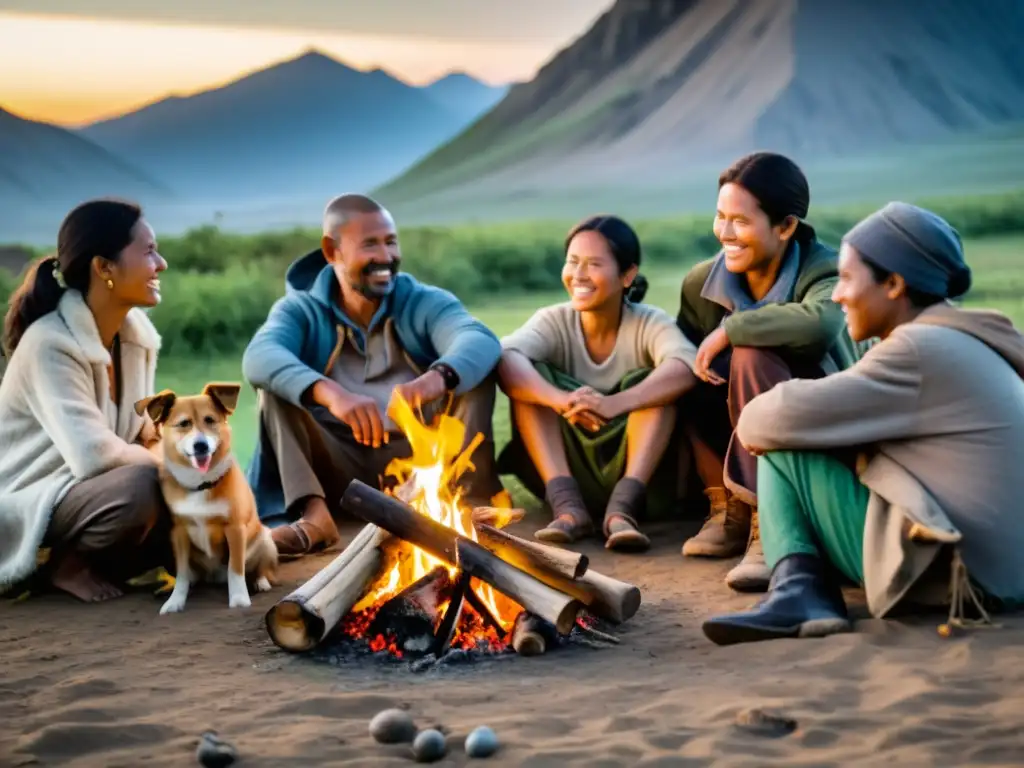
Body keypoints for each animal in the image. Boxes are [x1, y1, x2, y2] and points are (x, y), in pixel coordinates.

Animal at [138, 382, 280, 618]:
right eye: (184, 424)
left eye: (210, 420)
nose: (201, 445)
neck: (200, 484)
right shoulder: (178, 532)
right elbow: (182, 574)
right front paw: (175, 600)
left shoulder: (235, 529)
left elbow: (236, 569)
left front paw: (239, 598)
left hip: (265, 539)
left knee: (259, 568)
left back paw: (260, 582)